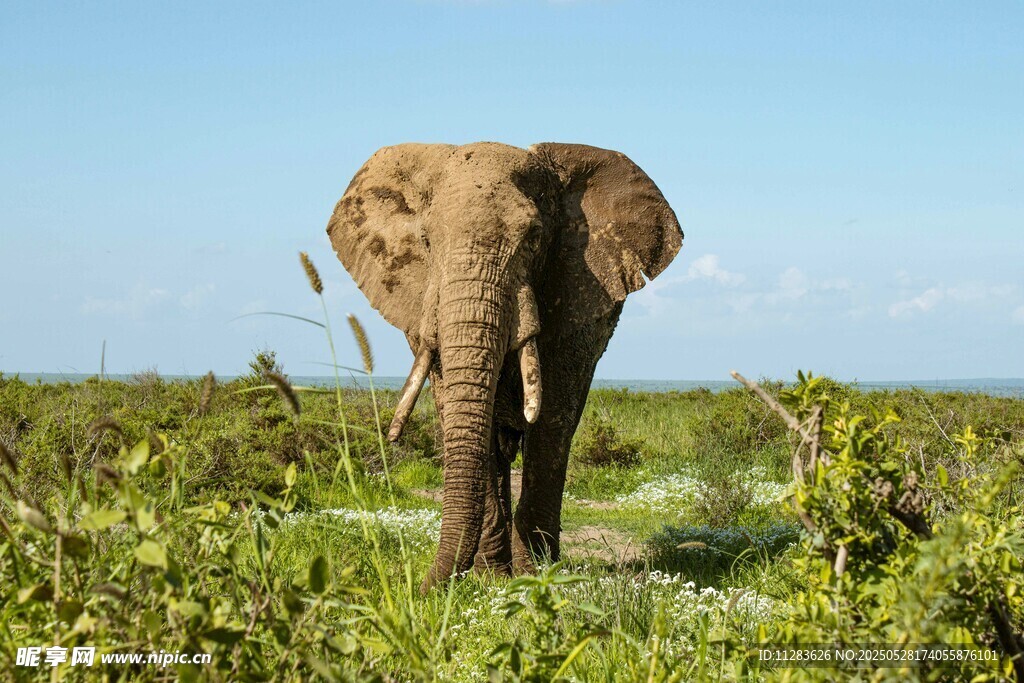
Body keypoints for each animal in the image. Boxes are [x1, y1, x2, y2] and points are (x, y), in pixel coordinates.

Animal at [327, 142, 682, 591]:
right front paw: (490, 579)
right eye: (426, 241)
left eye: (534, 238)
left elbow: (551, 423)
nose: (421, 588)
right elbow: (460, 412)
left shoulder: (575, 297)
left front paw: (536, 576)